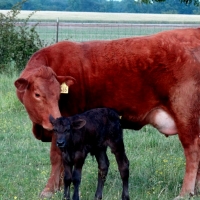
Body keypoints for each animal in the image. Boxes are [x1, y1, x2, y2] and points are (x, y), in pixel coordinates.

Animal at [14, 27, 200, 198]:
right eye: (37, 94)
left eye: (59, 94)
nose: (55, 116)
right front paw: (59, 187)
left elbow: (56, 156)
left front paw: (49, 190)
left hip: (186, 116)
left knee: (192, 152)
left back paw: (185, 192)